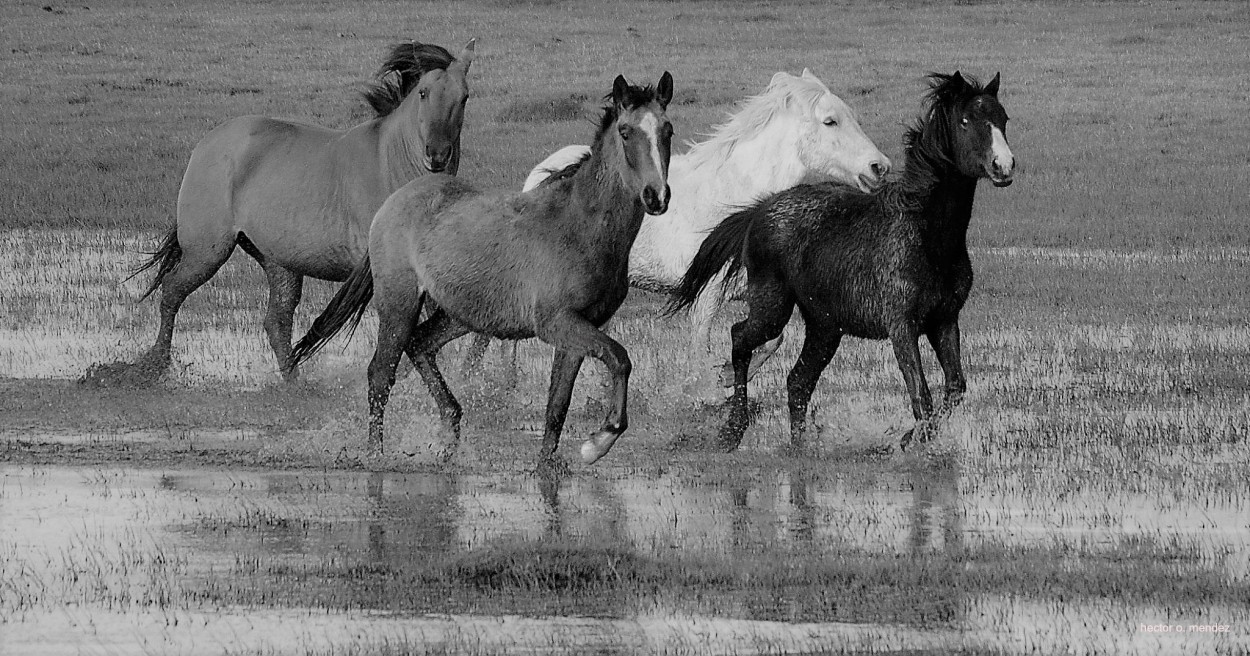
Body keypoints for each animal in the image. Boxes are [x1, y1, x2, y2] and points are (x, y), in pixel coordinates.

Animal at [81, 39, 472, 389]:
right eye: (423, 93)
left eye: (464, 97)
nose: (437, 154)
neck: (393, 166)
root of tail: (210, 142)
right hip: (208, 250)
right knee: (172, 292)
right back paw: (154, 366)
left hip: (279, 263)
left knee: (276, 322)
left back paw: (294, 382)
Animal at [288, 72, 680, 469]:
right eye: (626, 131)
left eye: (668, 129)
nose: (657, 196)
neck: (578, 226)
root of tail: (394, 202)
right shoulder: (557, 323)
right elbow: (620, 359)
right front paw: (598, 442)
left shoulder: (577, 332)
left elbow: (557, 407)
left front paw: (548, 466)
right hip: (399, 303)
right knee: (381, 374)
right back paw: (377, 455)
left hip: (462, 314)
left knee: (420, 345)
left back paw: (450, 435)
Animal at [670, 71, 1010, 449]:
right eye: (966, 121)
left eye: (1002, 119)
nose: (1003, 166)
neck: (928, 236)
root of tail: (759, 209)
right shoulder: (902, 326)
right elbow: (921, 395)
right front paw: (907, 443)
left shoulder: (945, 321)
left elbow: (954, 388)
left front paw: (910, 438)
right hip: (773, 308)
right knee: (740, 339)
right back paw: (732, 430)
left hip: (825, 328)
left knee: (797, 382)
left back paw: (799, 445)